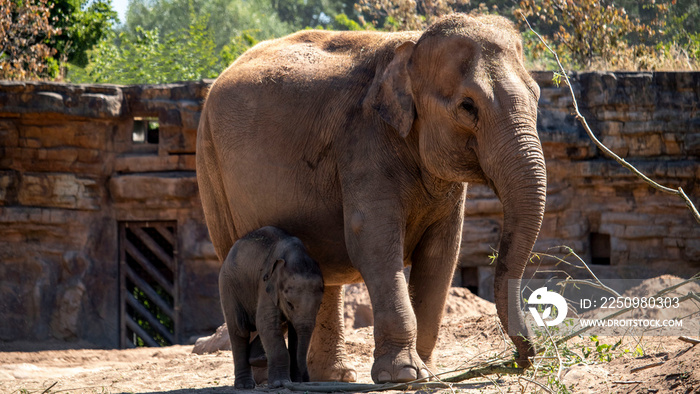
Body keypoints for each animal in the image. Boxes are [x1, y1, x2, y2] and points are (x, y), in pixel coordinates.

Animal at [219, 226, 326, 390]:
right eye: (289, 303)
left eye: (319, 304)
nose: (306, 380)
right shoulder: (266, 285)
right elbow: (266, 323)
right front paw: (279, 384)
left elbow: (293, 333)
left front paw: (295, 381)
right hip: (228, 285)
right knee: (239, 330)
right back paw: (244, 385)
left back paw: (257, 358)